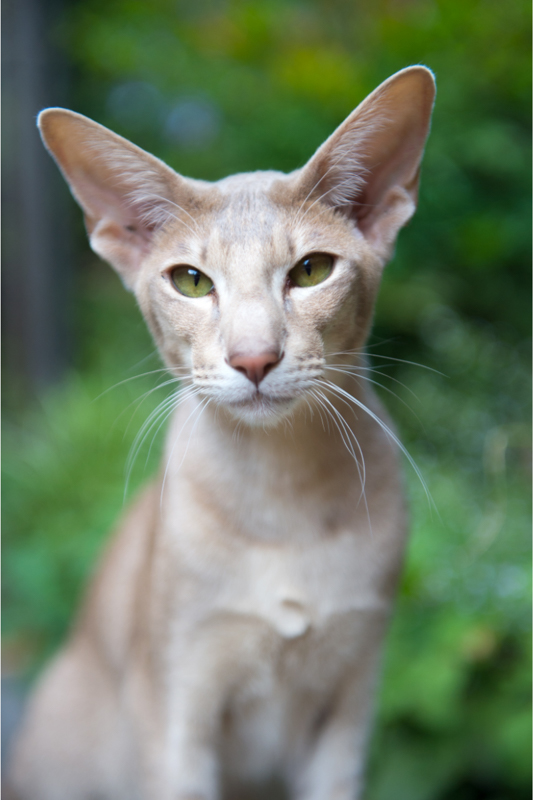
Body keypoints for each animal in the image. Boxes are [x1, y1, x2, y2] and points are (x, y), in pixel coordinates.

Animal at [8, 65, 434, 796]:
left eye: (311, 270)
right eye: (190, 281)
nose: (254, 358)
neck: (281, 492)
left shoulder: (349, 711)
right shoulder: (179, 715)